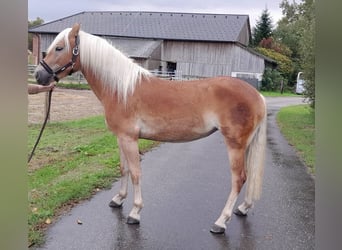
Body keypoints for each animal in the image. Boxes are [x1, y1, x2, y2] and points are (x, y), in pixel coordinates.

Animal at [34, 23, 268, 234]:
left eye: (59, 48)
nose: (38, 75)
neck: (121, 89)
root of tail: (257, 96)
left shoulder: (130, 138)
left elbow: (136, 173)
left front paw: (135, 212)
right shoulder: (120, 137)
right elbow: (124, 169)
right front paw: (118, 199)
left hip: (235, 145)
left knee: (238, 179)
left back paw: (220, 222)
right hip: (246, 145)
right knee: (249, 175)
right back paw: (243, 208)